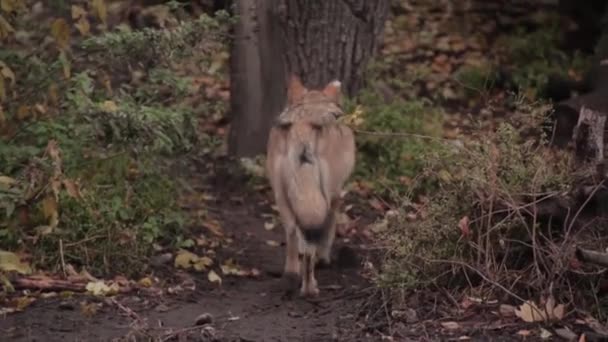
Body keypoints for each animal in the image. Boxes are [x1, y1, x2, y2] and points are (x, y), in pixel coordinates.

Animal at [266, 75, 356, 296]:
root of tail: (303, 126)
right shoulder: (335, 196)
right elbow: (328, 233)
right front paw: (324, 259)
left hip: (282, 198)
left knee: (292, 234)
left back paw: (292, 276)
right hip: (322, 197)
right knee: (310, 249)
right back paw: (309, 289)